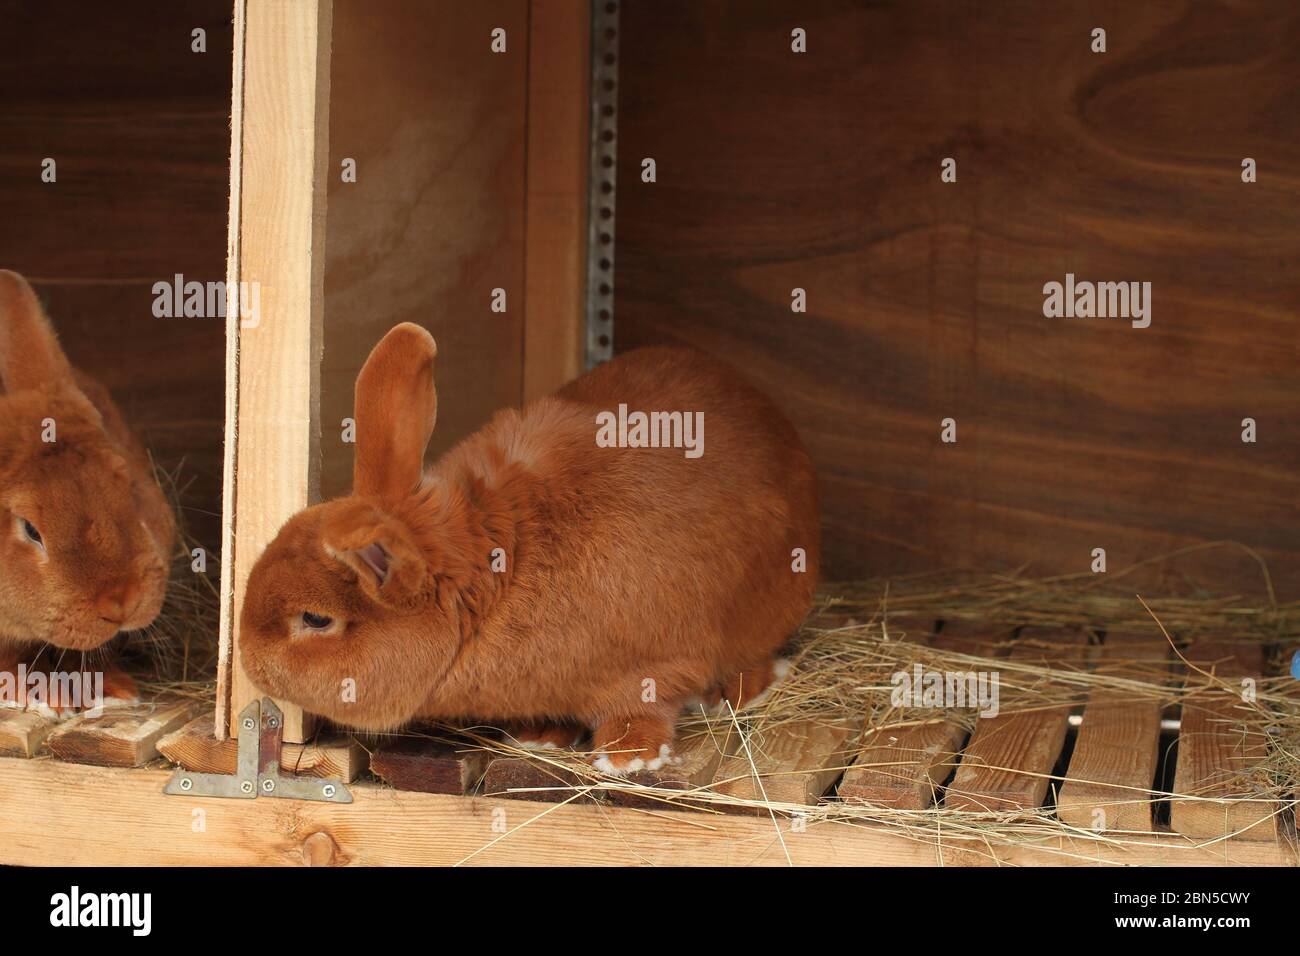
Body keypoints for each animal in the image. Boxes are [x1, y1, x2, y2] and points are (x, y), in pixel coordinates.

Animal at [239, 322, 819, 773]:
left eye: (316, 619)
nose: (247, 659)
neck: (496, 578)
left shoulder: (656, 665)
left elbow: (642, 708)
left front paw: (627, 758)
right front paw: (539, 736)